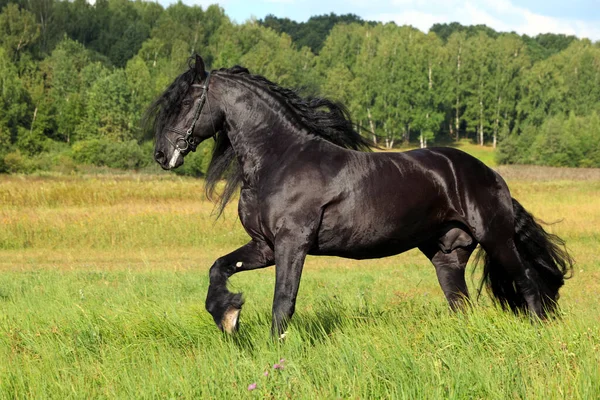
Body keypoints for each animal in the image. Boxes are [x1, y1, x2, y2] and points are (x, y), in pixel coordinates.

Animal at [148, 55, 576, 338]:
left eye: (185, 102)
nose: (162, 154)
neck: (280, 158)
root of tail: (491, 175)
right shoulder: (264, 246)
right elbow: (218, 268)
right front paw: (228, 317)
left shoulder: (292, 244)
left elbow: (283, 302)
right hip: (446, 254)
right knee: (461, 304)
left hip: (496, 239)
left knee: (529, 285)